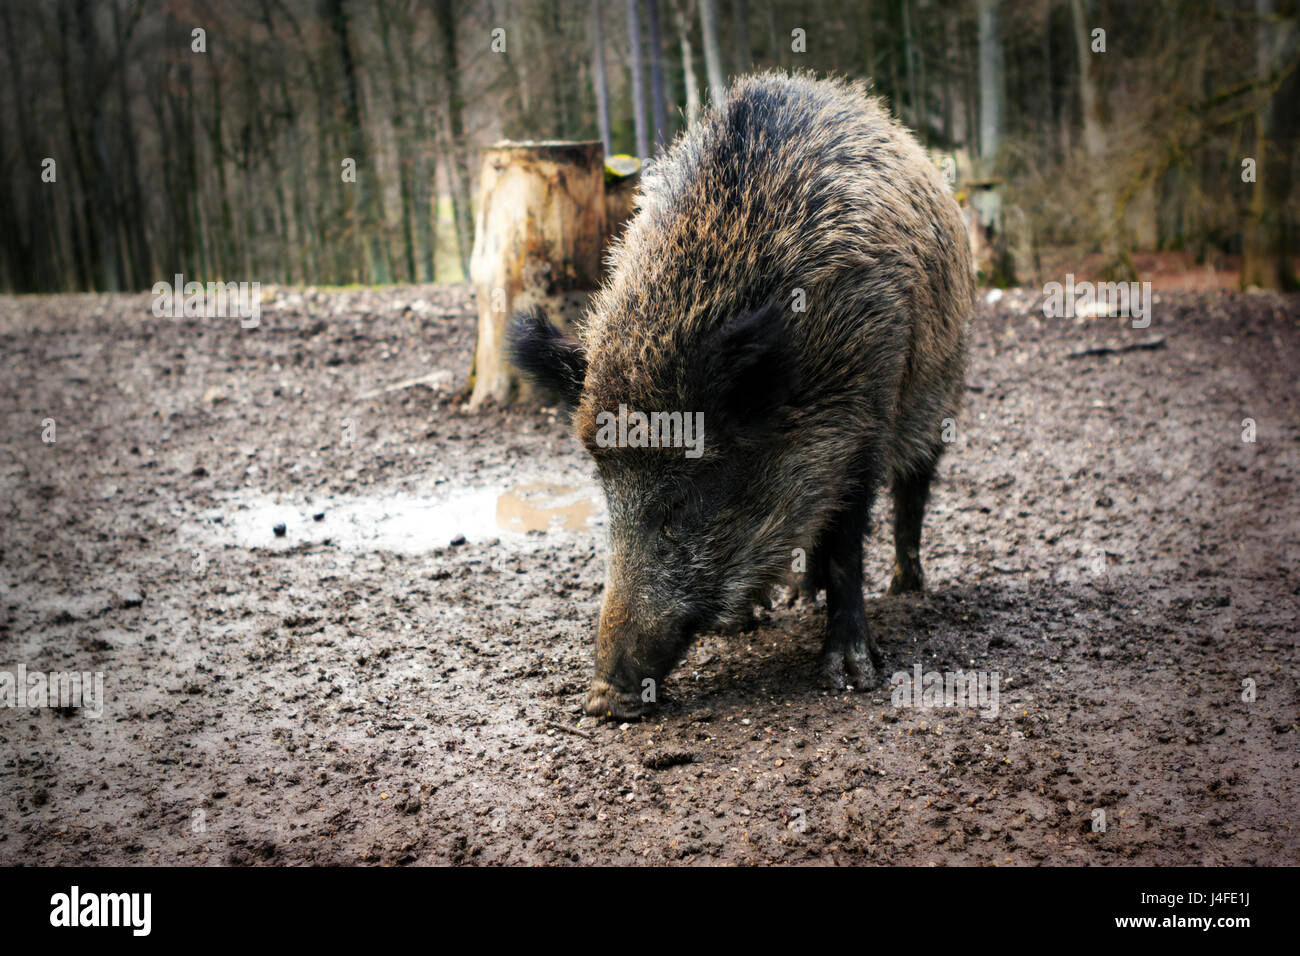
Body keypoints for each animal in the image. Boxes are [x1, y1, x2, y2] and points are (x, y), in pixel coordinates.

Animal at [509, 71, 974, 720]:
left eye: (685, 499)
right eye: (606, 496)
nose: (603, 700)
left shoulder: (863, 418)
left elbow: (848, 543)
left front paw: (851, 676)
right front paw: (754, 621)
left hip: (940, 390)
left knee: (914, 490)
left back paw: (906, 589)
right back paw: (799, 599)